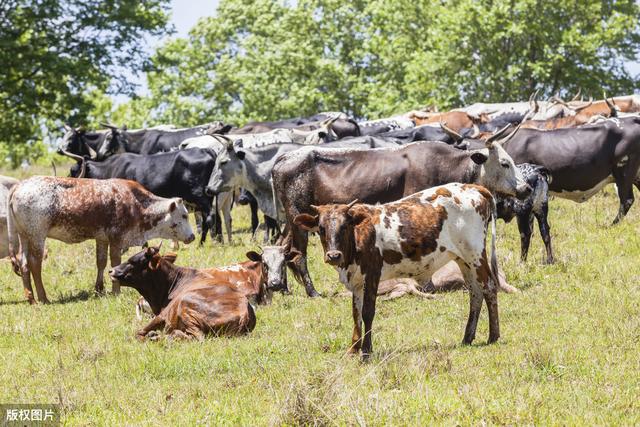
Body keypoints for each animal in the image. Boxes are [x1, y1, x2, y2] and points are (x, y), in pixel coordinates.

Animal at [7, 176, 194, 304]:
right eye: (184, 215)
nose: (192, 237)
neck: (137, 204)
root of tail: (20, 185)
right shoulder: (117, 238)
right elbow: (115, 261)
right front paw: (116, 291)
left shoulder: (102, 238)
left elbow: (101, 262)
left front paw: (99, 289)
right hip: (37, 235)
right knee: (34, 263)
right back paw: (43, 297)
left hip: (24, 236)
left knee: (24, 263)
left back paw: (31, 298)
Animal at [111, 247, 256, 342]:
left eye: (132, 262)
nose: (111, 270)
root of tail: (244, 311)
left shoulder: (162, 314)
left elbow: (139, 332)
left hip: (185, 304)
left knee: (197, 338)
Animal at [272, 134, 532, 298]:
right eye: (505, 163)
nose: (526, 188)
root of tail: (284, 158)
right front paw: (427, 285)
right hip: (299, 218)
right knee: (298, 255)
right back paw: (313, 292)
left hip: (294, 221)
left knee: (281, 247)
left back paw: (283, 288)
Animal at [292, 182, 502, 360]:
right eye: (321, 228)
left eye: (344, 226)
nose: (334, 255)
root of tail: (473, 187)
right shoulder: (357, 281)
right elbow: (356, 313)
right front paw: (353, 349)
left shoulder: (373, 274)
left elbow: (367, 312)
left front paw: (366, 351)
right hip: (463, 260)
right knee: (475, 293)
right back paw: (467, 337)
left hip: (475, 254)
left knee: (490, 287)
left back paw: (493, 336)